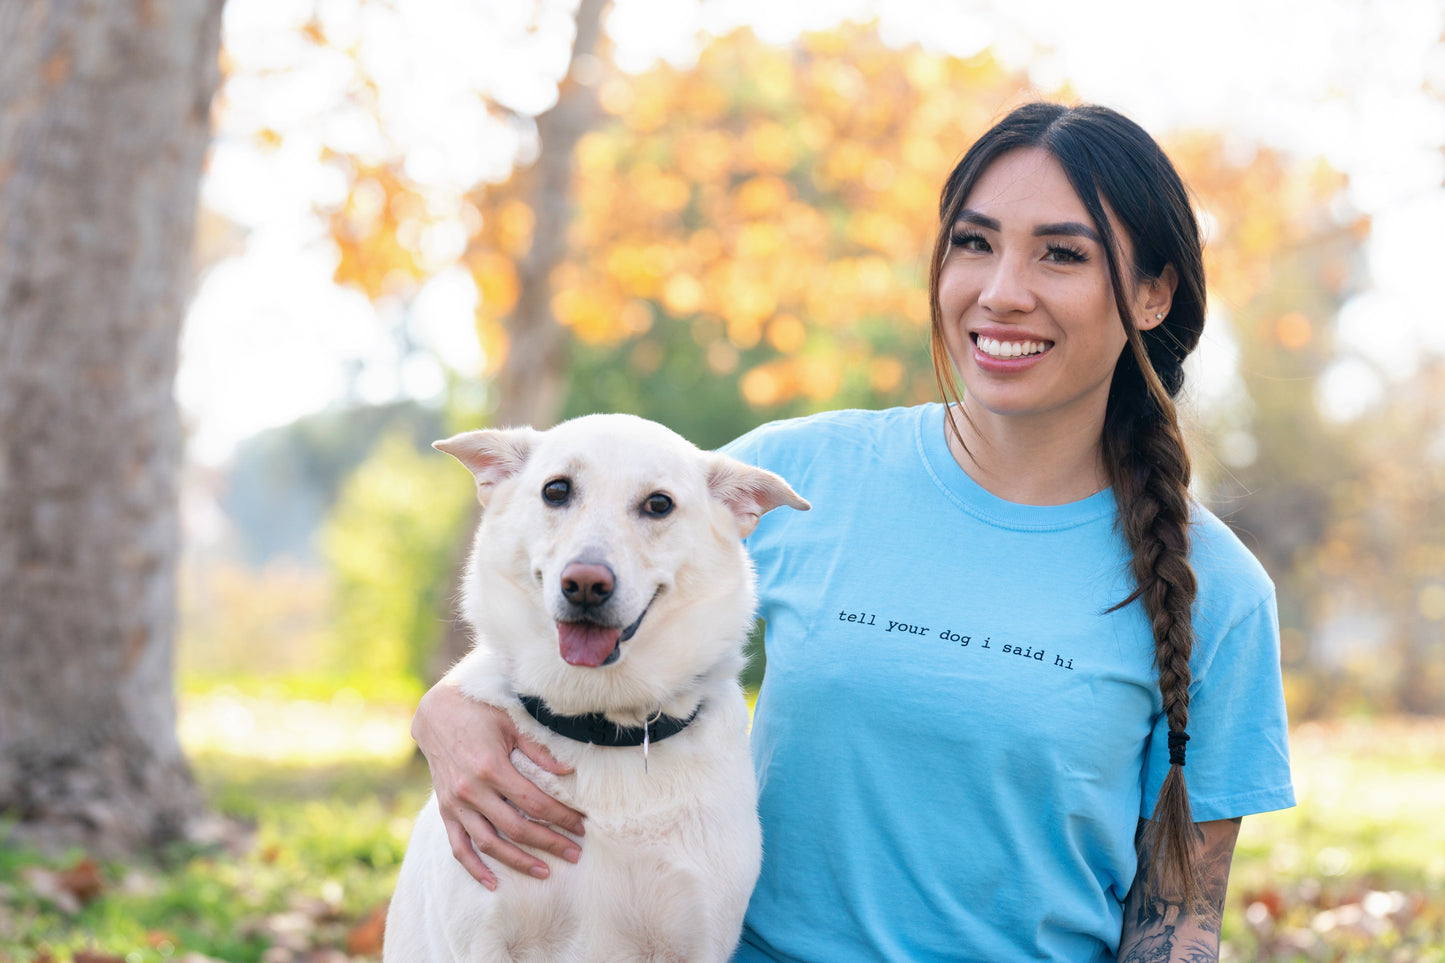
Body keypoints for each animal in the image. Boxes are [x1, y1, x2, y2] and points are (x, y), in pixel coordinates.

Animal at [384, 413, 809, 960]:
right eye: (556, 490)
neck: (602, 724)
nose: (585, 584)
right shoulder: (482, 938)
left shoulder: (696, 938)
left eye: (659, 504)